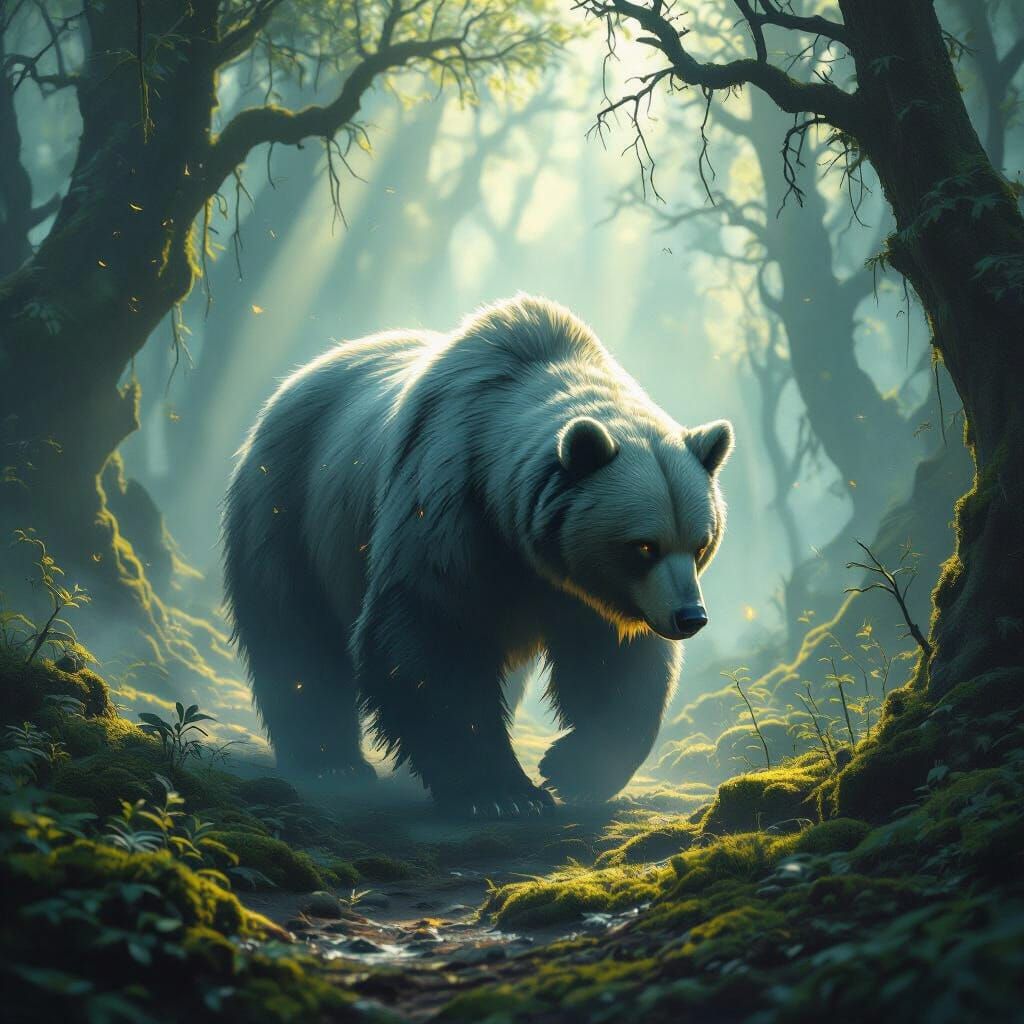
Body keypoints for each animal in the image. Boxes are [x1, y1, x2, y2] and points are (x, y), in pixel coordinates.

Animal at [223, 295, 733, 815]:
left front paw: (574, 768)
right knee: (295, 634)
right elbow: (429, 630)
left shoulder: (585, 587)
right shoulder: (450, 503)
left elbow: (616, 661)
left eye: (700, 543)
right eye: (644, 545)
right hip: (290, 503)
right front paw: (505, 793)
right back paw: (330, 761)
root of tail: (294, 380)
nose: (690, 617)